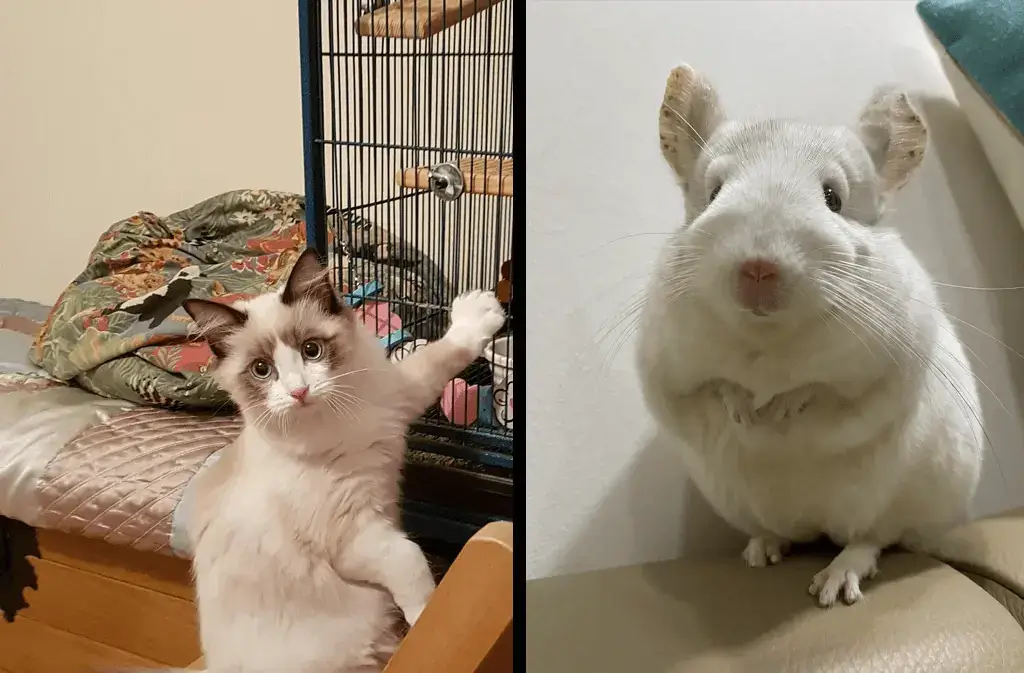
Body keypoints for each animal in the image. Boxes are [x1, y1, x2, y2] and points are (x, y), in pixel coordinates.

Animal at [174, 248, 509, 667]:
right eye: (262, 370)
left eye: (311, 350)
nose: (299, 391)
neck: (335, 423)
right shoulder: (352, 537)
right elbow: (411, 558)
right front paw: (432, 620)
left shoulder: (395, 398)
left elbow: (442, 354)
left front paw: (479, 311)